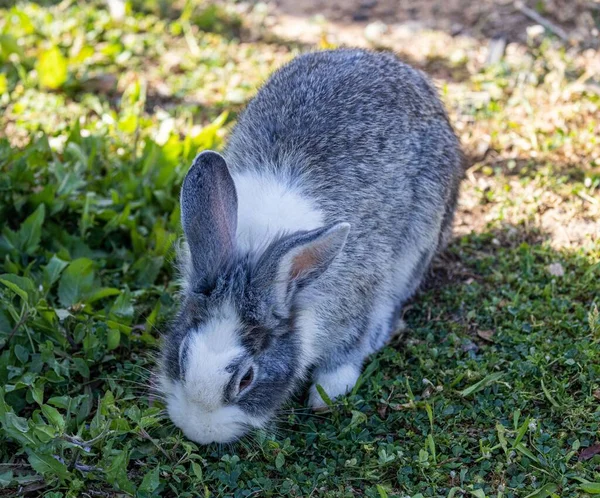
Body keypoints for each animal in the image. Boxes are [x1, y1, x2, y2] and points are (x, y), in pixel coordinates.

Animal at [157, 48, 462, 444]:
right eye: (181, 356)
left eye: (246, 378)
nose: (198, 431)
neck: (255, 255)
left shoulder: (359, 301)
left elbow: (349, 348)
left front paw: (326, 392)